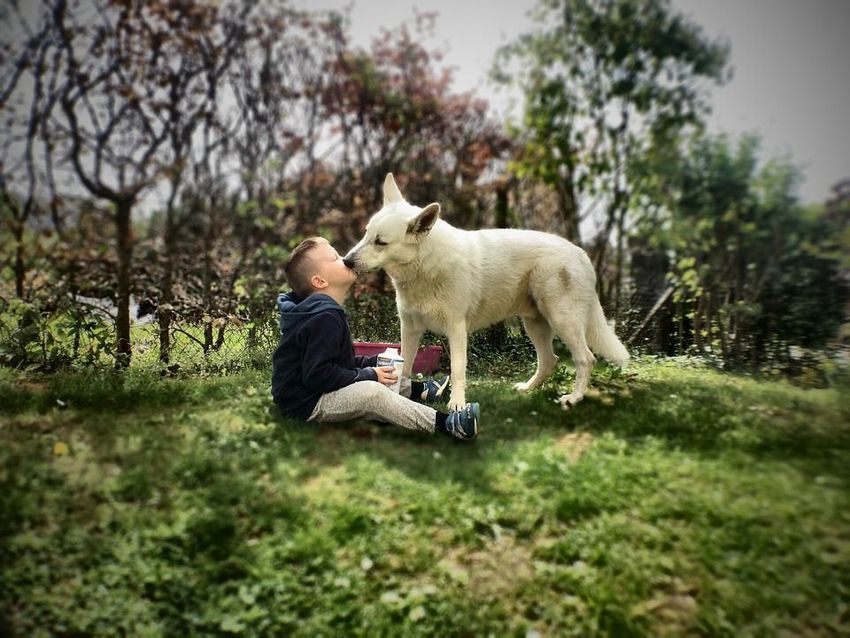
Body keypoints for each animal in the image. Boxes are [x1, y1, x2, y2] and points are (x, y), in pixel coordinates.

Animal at [342, 175, 628, 412]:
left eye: (381, 242)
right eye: (366, 234)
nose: (346, 261)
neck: (425, 266)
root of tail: (580, 253)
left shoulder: (456, 329)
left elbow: (458, 370)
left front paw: (457, 405)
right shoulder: (410, 328)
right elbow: (406, 367)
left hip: (562, 321)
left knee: (585, 358)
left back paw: (573, 398)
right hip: (535, 324)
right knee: (550, 360)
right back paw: (528, 389)